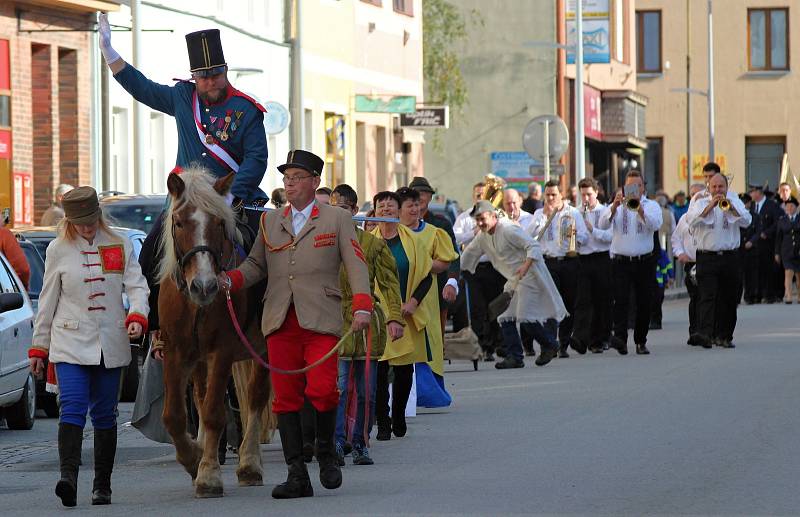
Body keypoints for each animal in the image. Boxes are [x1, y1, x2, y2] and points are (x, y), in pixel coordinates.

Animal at [156, 165, 272, 496]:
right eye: (179, 222)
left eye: (219, 223)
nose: (204, 286)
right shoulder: (176, 351)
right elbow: (174, 415)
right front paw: (194, 459)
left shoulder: (221, 352)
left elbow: (213, 413)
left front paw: (207, 474)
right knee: (200, 396)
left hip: (263, 349)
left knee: (256, 397)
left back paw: (250, 464)